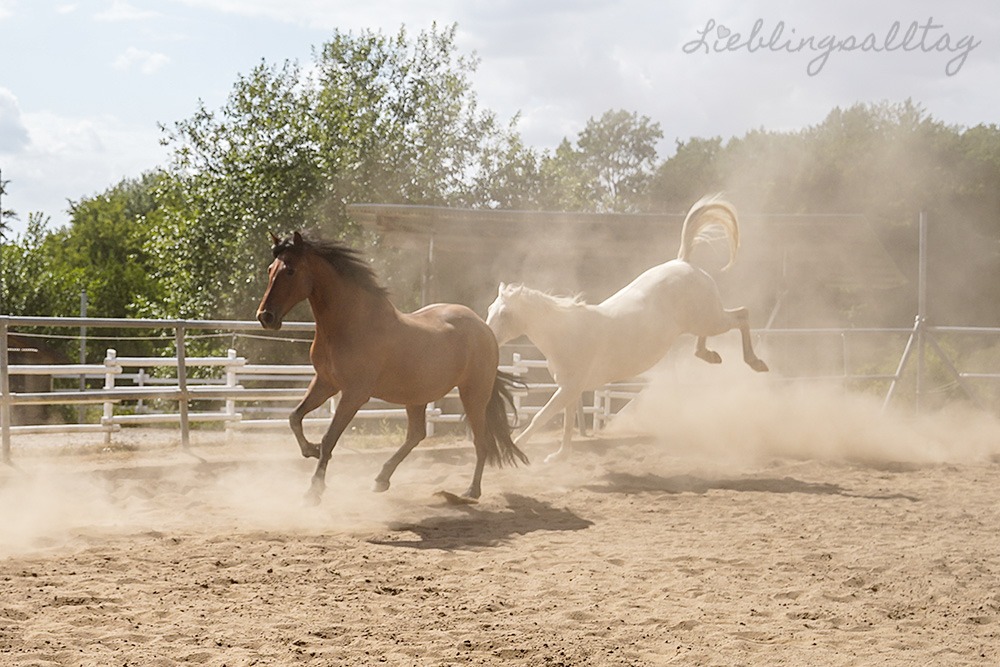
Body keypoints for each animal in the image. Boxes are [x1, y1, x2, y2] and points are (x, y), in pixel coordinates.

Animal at [256, 231, 527, 505]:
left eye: (290, 271)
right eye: (270, 269)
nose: (265, 317)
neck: (351, 324)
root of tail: (484, 328)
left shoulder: (354, 394)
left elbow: (329, 436)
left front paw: (314, 490)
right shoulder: (325, 383)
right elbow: (294, 417)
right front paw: (311, 450)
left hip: (473, 394)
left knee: (481, 442)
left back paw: (471, 491)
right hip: (418, 396)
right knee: (417, 434)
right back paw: (381, 479)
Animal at [485, 195, 768, 463]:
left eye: (505, 314)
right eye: (489, 309)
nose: (489, 339)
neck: (568, 335)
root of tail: (684, 262)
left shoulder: (569, 388)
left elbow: (541, 417)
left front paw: (516, 449)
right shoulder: (570, 389)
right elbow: (567, 422)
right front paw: (559, 456)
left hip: (710, 318)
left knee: (742, 315)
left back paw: (756, 362)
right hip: (701, 319)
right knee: (712, 333)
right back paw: (710, 355)